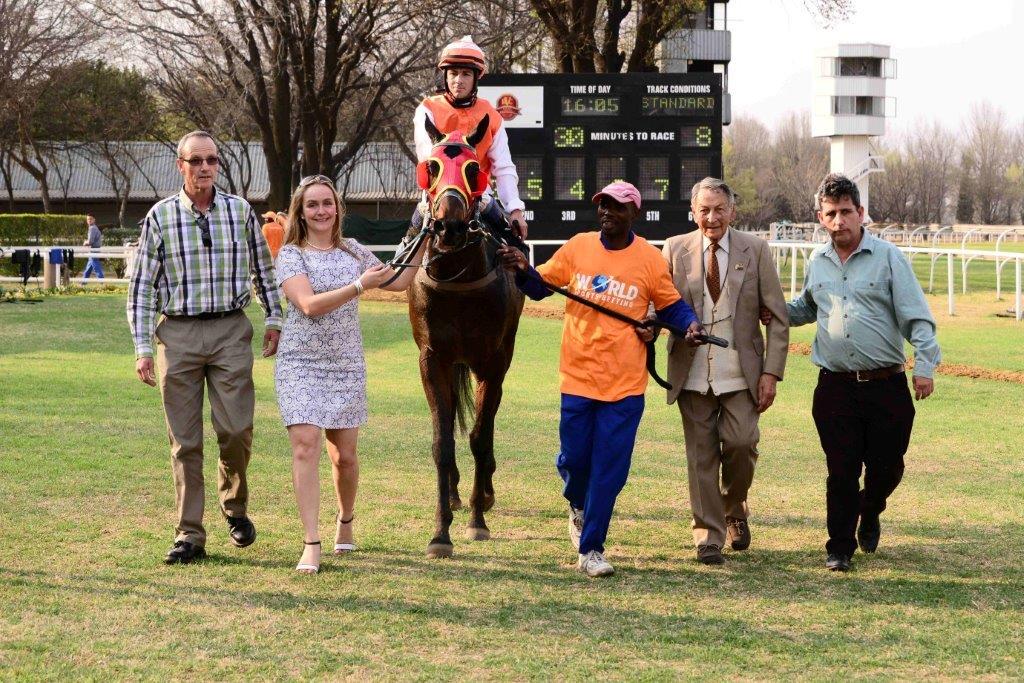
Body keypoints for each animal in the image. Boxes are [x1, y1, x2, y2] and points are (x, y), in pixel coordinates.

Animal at [405, 114, 524, 557]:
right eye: (431, 167)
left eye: (474, 169)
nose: (450, 226)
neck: (456, 277)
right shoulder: (432, 358)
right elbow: (443, 441)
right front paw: (441, 531)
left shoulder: (490, 361)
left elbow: (478, 436)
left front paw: (477, 519)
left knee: (484, 428)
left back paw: (483, 494)